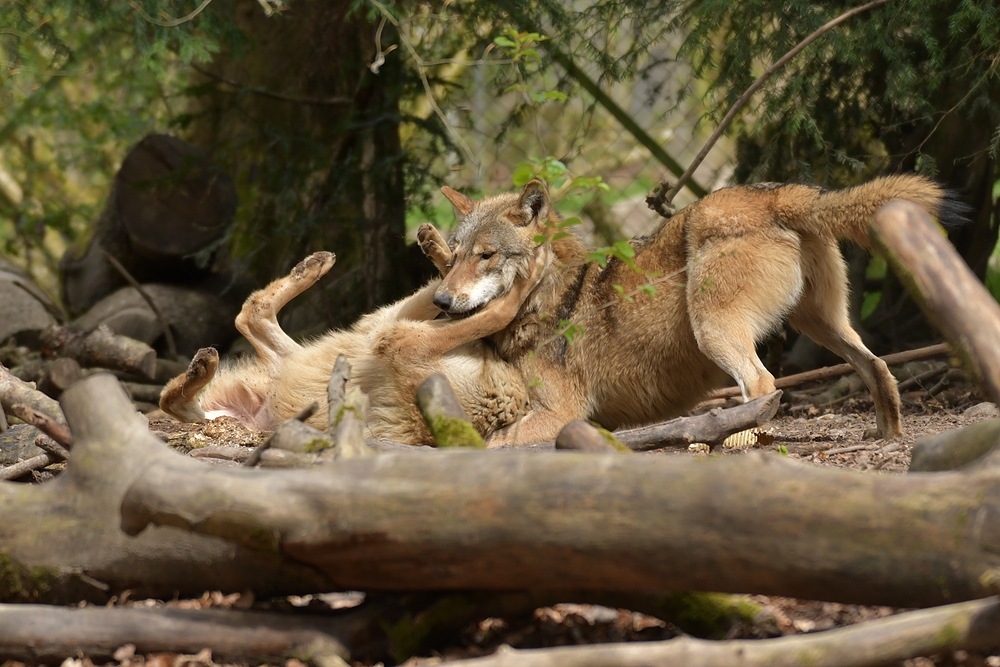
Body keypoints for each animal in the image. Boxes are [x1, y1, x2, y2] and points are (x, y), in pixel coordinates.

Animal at [158, 237, 548, 446]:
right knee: (249, 314)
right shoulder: (403, 336)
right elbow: (493, 307)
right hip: (374, 328)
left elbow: (498, 311)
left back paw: (202, 368)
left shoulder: (401, 340)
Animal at [434, 174, 964, 444]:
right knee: (877, 366)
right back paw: (887, 436)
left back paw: (732, 447)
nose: (439, 300)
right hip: (821, 324)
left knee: (762, 386)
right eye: (453, 254)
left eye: (486, 255)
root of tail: (776, 195)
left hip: (715, 331)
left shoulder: (563, 413)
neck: (549, 295)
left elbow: (489, 442)